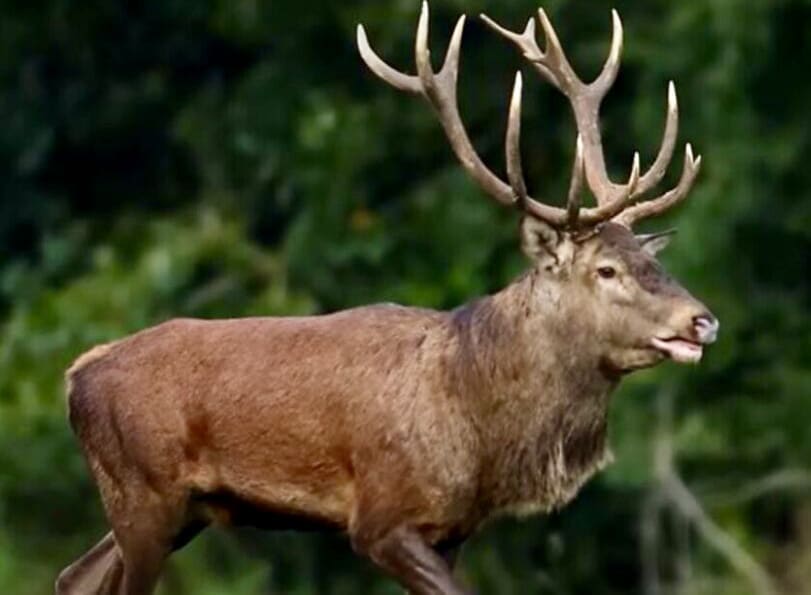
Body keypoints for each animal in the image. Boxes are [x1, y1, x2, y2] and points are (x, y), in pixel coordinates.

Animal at [56, 3, 719, 594]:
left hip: (181, 509)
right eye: (606, 269)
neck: (479, 425)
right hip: (142, 491)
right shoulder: (380, 518)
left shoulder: (451, 530)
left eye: (653, 261)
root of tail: (76, 375)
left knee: (74, 575)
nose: (703, 321)